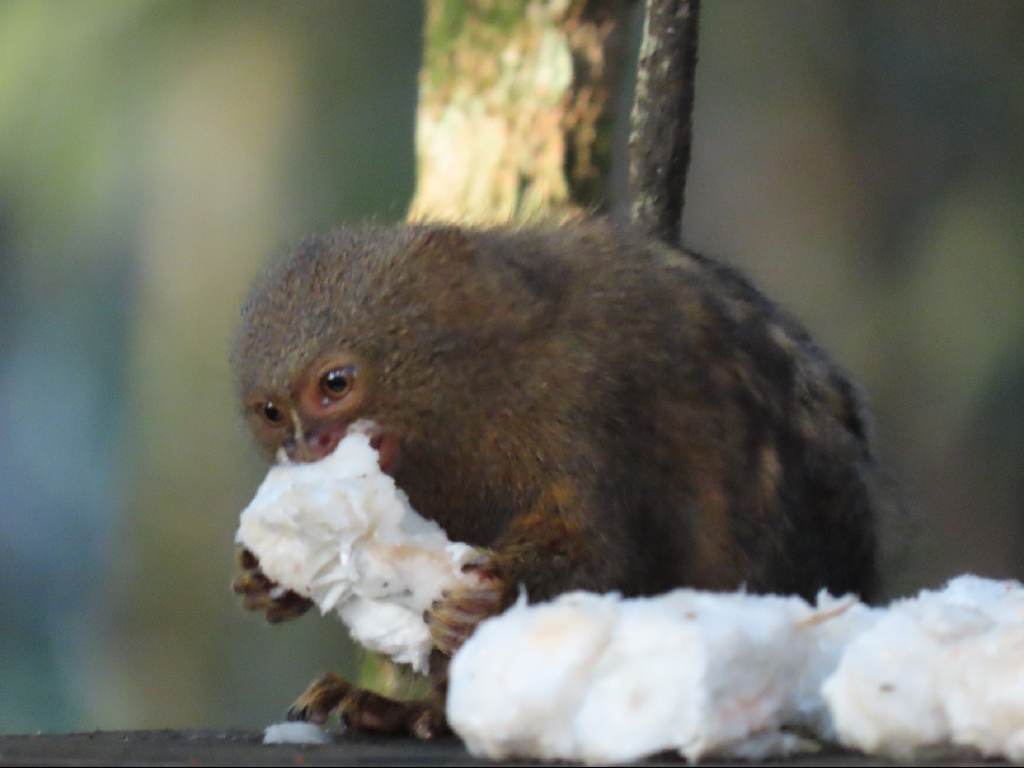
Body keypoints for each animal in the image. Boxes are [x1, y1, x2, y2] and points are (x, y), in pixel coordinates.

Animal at [230, 221, 880, 741]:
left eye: (335, 384)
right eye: (271, 412)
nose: (305, 445)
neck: (481, 386)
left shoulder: (581, 403)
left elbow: (595, 555)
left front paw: (488, 600)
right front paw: (269, 580)